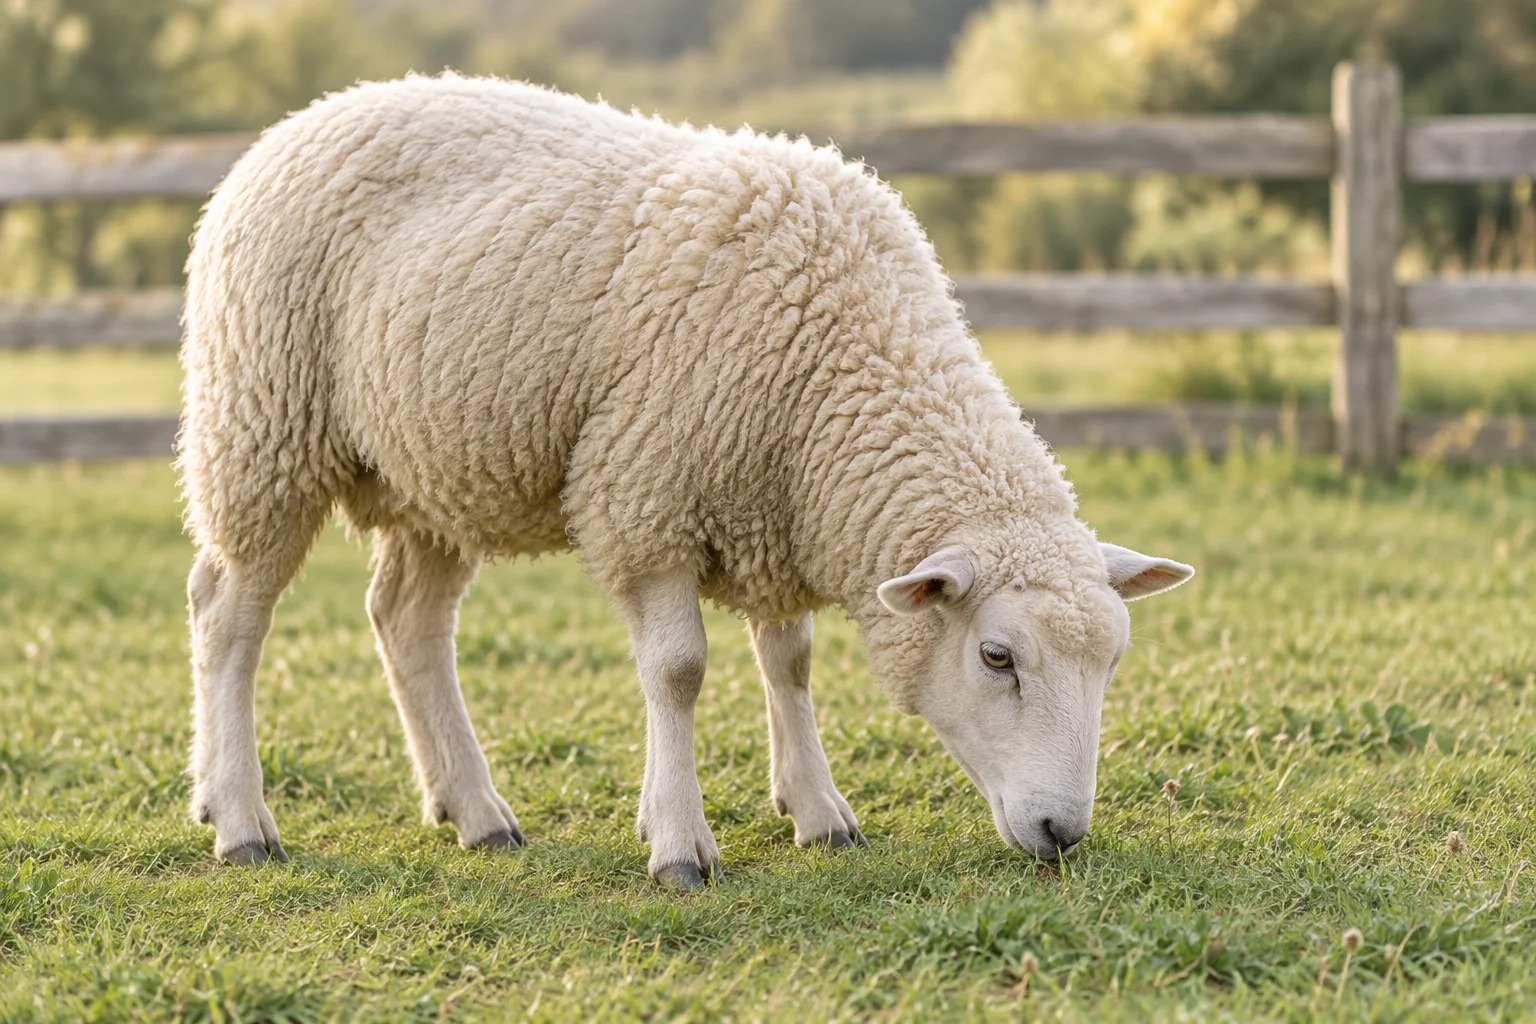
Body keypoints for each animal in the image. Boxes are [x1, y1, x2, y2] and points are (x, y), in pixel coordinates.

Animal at [179, 75, 1194, 886]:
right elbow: (678, 672)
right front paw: (677, 843)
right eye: (997, 658)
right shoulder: (647, 498)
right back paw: (240, 821)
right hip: (264, 429)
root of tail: (302, 118)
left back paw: (474, 812)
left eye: (1113, 660)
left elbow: (790, 661)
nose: (1063, 831)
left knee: (407, 622)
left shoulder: (778, 505)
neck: (842, 360)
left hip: (436, 470)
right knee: (227, 613)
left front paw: (817, 811)